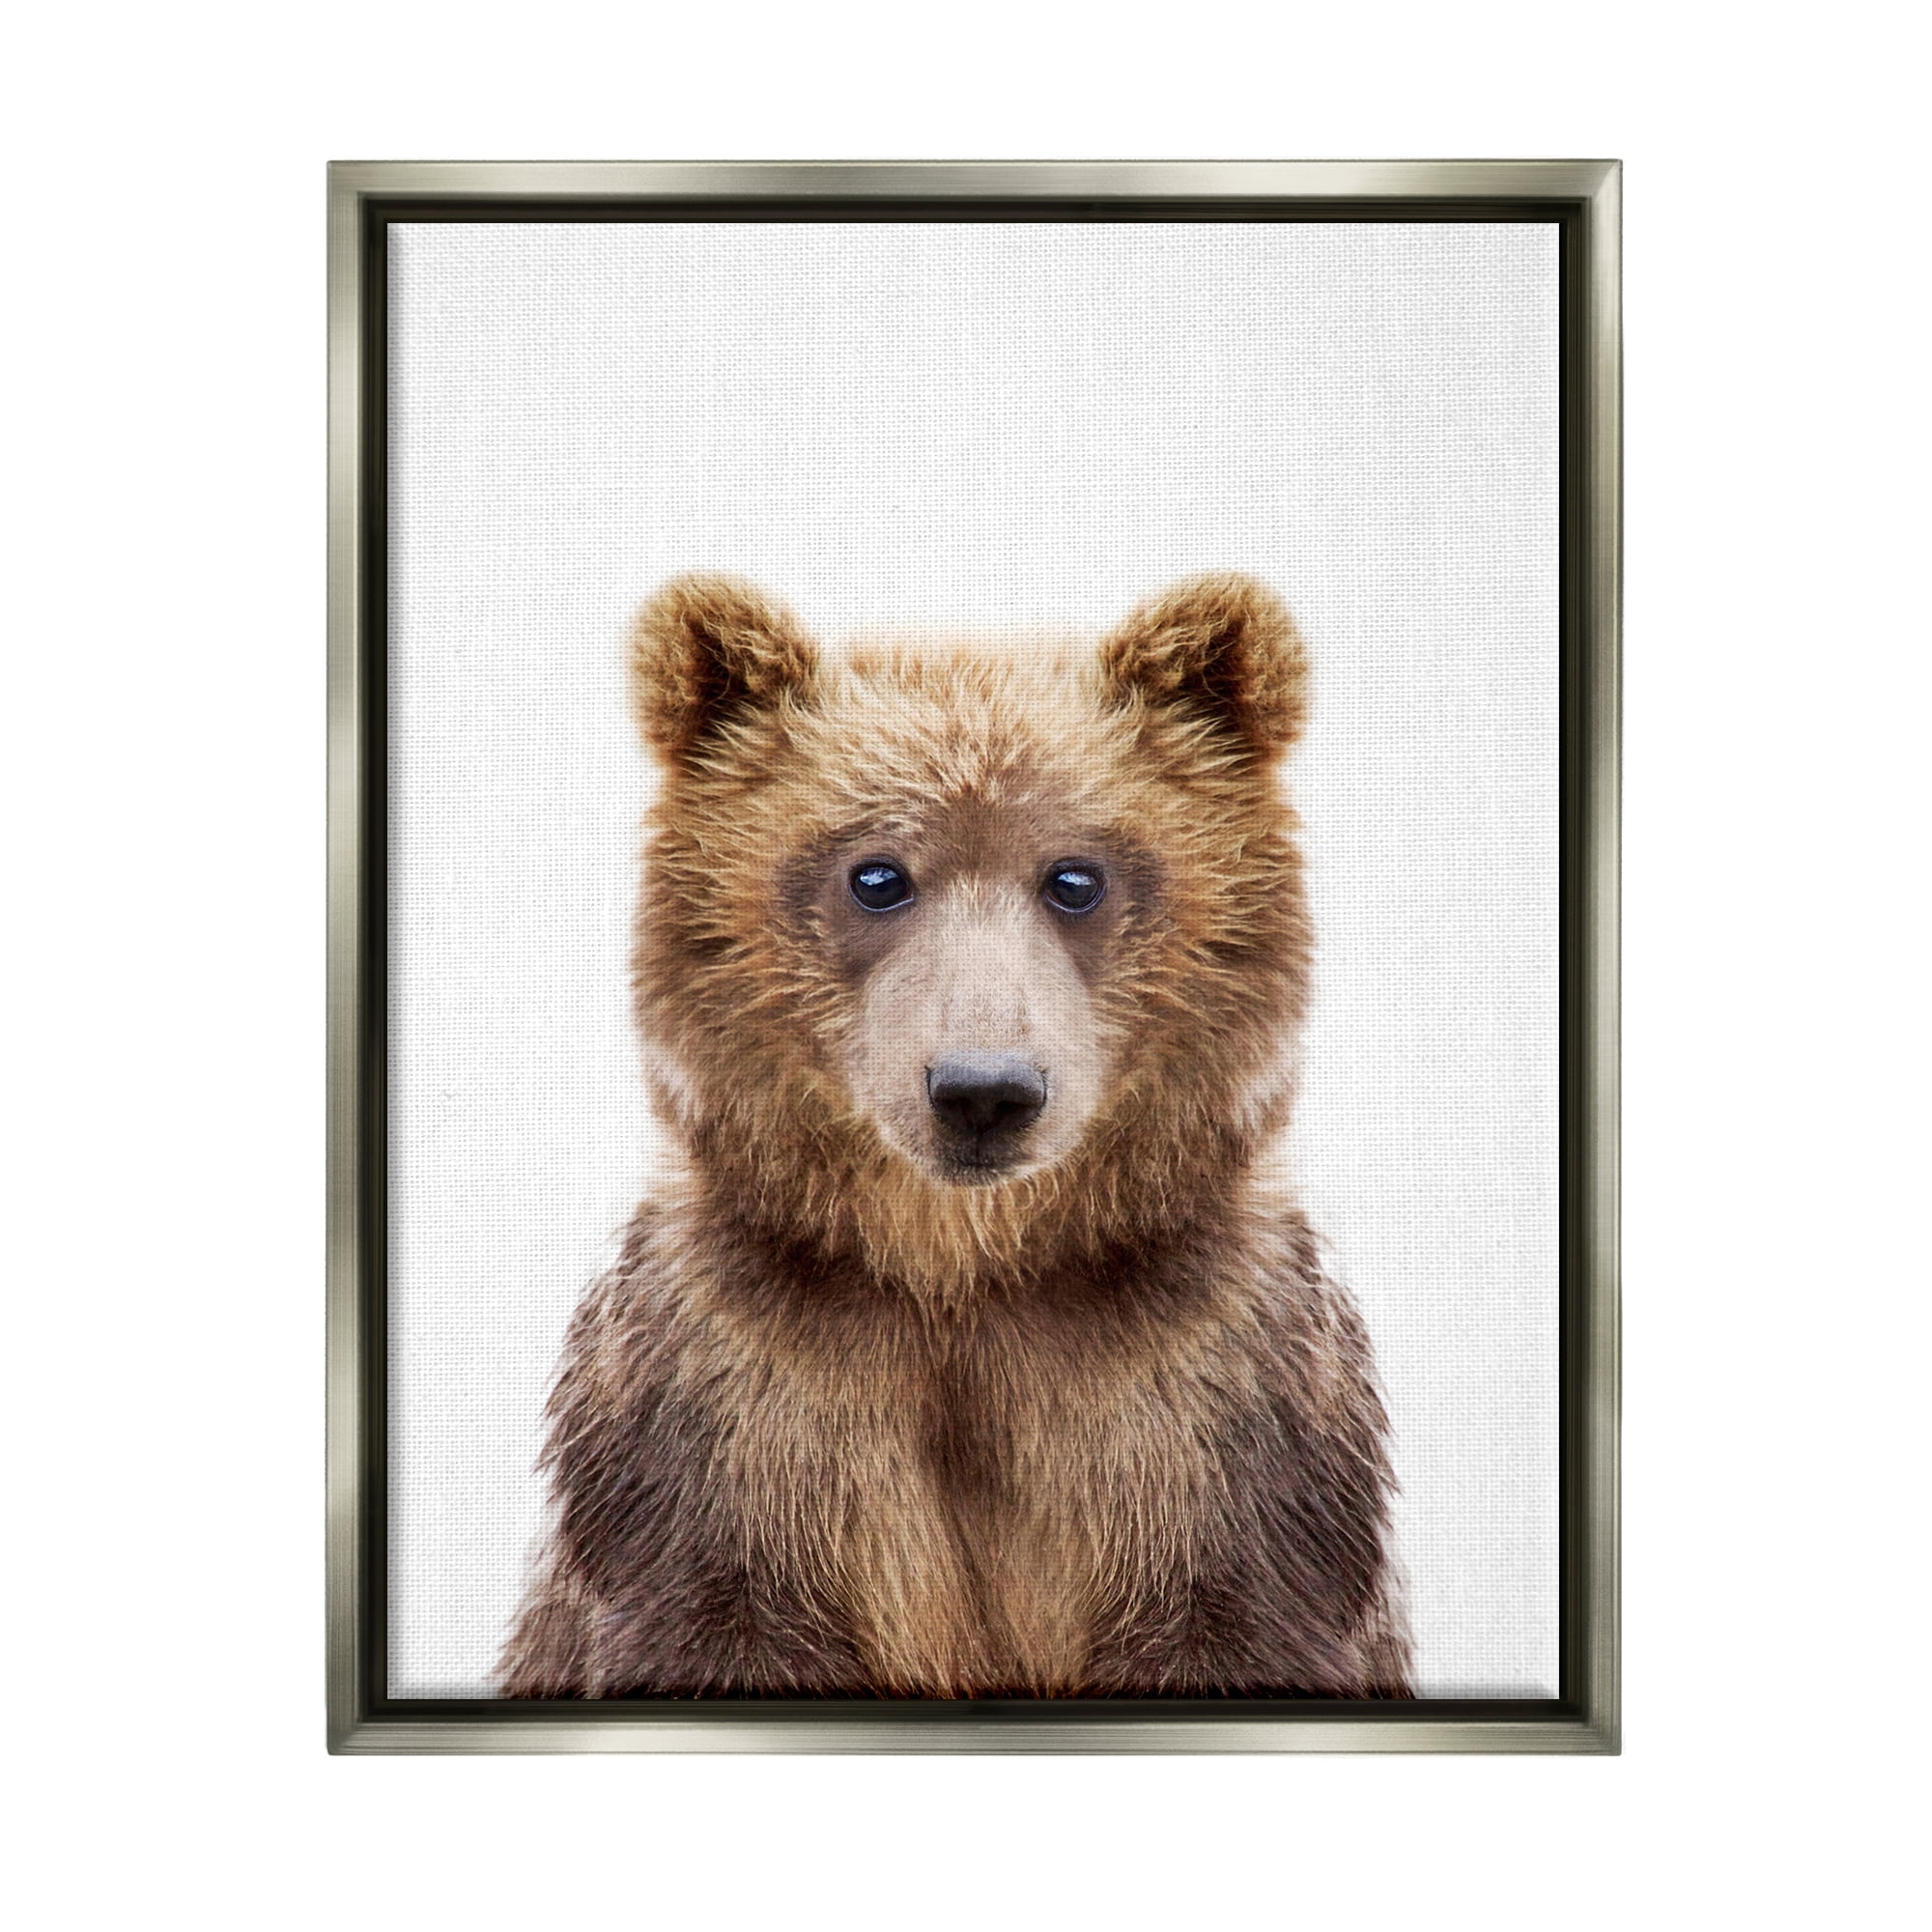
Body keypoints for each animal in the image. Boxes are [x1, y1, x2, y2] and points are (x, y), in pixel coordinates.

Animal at [497, 572, 1411, 1700]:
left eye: (1075, 875)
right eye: (876, 873)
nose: (983, 1090)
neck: (965, 1273)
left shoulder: (1210, 1407)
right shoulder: (731, 1407)